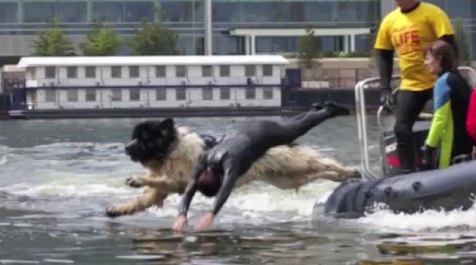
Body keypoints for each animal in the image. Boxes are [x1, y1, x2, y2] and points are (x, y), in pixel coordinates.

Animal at [104, 118, 356, 217]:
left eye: (144, 138)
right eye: (135, 137)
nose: (126, 147)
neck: (170, 150)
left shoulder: (182, 180)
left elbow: (159, 180)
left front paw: (136, 179)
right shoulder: (164, 188)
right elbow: (142, 199)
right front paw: (118, 209)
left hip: (293, 163)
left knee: (324, 164)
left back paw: (349, 171)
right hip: (286, 177)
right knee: (319, 172)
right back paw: (343, 178)